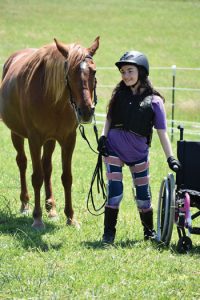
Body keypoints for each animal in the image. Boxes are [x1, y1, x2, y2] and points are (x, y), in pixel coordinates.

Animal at [0, 37, 100, 230]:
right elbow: (36, 177)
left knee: (47, 166)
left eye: (93, 71)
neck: (53, 101)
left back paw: (51, 208)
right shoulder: (34, 139)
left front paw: (70, 217)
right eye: (69, 73)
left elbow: (66, 177)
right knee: (22, 163)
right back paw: (25, 204)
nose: (86, 111)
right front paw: (37, 218)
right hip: (17, 134)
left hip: (50, 140)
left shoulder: (68, 139)